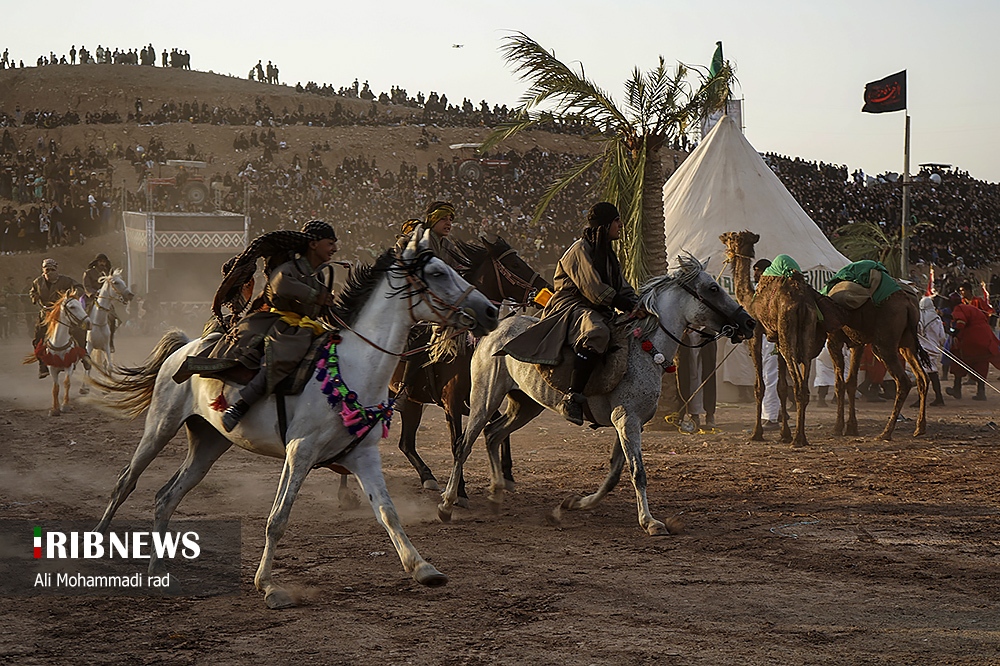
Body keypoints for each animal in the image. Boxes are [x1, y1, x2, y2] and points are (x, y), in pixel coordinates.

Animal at [92, 228, 498, 608]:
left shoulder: (363, 456)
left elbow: (387, 512)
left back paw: (157, 568)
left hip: (208, 444)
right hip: (160, 427)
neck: (353, 368)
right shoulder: (299, 452)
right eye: (437, 272)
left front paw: (423, 568)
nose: (491, 310)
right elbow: (277, 520)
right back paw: (98, 545)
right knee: (125, 482)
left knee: (167, 497)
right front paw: (269, 586)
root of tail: (187, 347)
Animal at [392, 233, 552, 498]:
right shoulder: (452, 403)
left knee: (405, 443)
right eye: (515, 264)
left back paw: (428, 477)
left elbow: (498, 431)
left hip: (413, 405)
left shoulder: (483, 398)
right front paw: (460, 491)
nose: (544, 288)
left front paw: (507, 475)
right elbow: (457, 441)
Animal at [434, 254, 752, 536]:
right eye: (713, 288)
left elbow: (614, 475)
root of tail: (495, 328)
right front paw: (650, 522)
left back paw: (497, 493)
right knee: (464, 444)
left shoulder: (629, 424)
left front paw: (574, 504)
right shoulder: (627, 421)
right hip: (485, 398)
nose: (748, 323)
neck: (644, 349)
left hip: (525, 405)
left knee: (493, 435)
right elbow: (637, 472)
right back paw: (447, 504)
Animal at [720, 230, 828, 446]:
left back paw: (798, 438)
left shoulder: (756, 333)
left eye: (731, 237)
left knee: (798, 385)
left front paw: (756, 433)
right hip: (805, 333)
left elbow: (759, 386)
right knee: (803, 383)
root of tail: (801, 303)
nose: (722, 236)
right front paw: (784, 434)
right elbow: (781, 387)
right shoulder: (776, 339)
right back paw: (800, 436)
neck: (749, 299)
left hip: (788, 332)